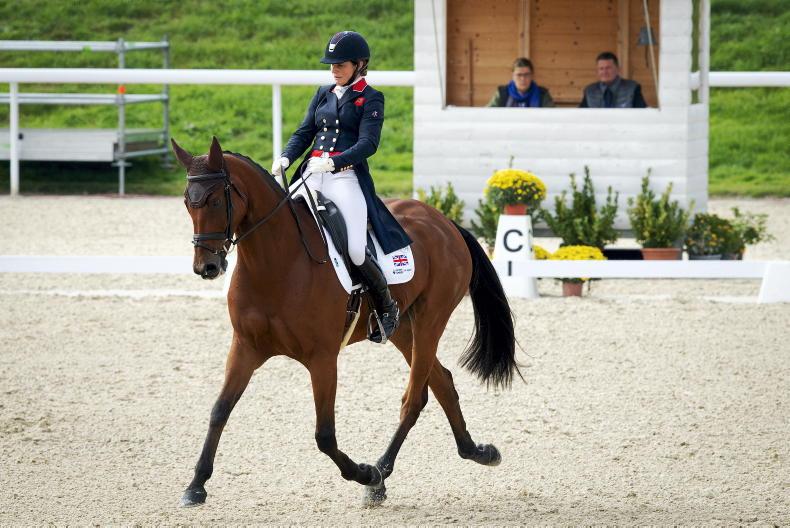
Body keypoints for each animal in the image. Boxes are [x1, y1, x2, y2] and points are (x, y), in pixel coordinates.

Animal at [173, 136, 519, 507]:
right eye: (187, 203)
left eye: (214, 200)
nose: (206, 267)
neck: (275, 264)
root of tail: (445, 223)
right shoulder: (245, 348)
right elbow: (219, 410)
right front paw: (196, 485)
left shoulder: (322, 359)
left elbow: (324, 435)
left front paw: (364, 473)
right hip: (402, 328)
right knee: (441, 382)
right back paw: (476, 451)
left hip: (431, 320)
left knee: (414, 398)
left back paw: (379, 474)